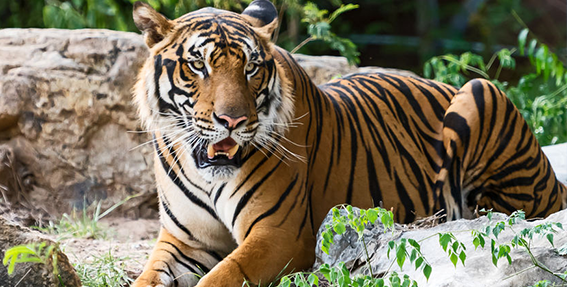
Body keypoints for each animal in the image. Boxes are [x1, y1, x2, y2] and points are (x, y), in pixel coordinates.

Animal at [130, 1, 567, 286]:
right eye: (197, 65)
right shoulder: (185, 239)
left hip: (480, 90)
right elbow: (148, 278)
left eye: (251, 67)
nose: (233, 122)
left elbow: (221, 278)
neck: (205, 170)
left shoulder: (279, 234)